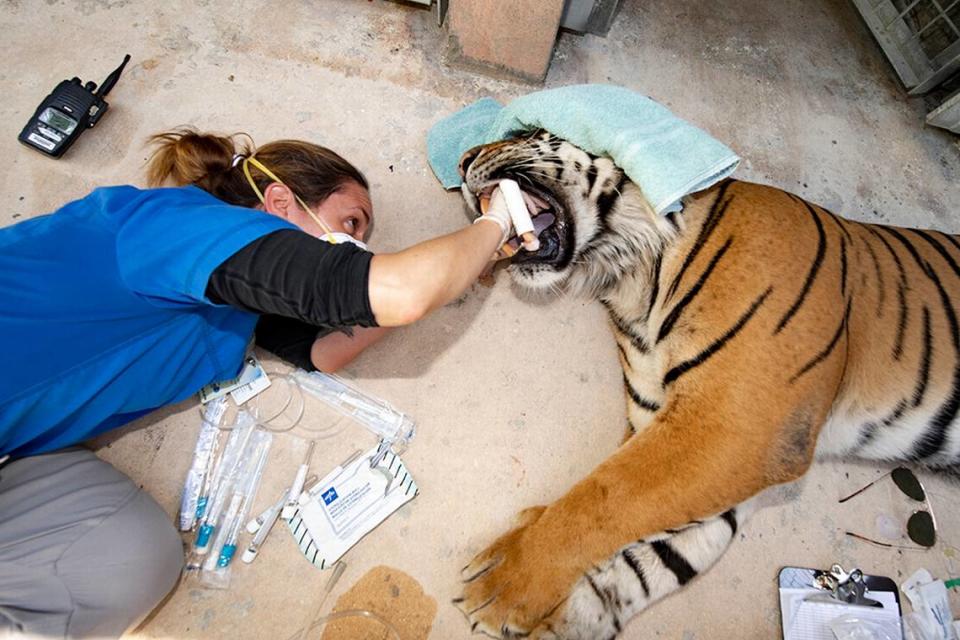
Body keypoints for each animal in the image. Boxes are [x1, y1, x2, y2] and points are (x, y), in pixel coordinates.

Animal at [452, 130, 960, 640]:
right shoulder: (677, 431)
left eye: (525, 134)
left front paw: (505, 578)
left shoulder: (736, 427)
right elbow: (648, 558)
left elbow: (605, 497)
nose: (463, 160)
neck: (632, 282)